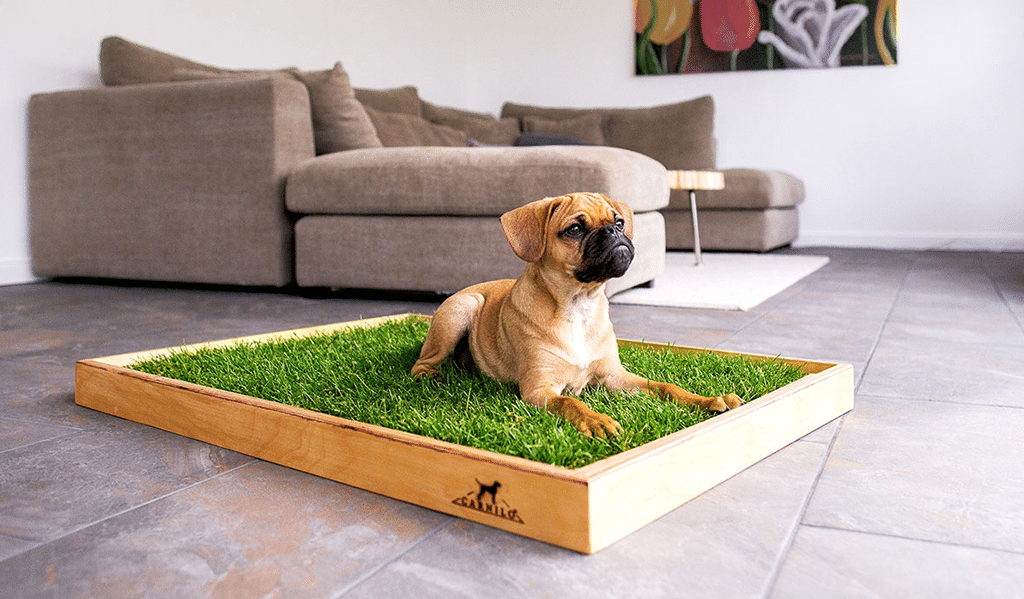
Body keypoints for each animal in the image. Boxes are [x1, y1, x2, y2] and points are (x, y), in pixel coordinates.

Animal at [411, 192, 743, 437]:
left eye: (619, 221)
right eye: (575, 229)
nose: (613, 232)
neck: (579, 305)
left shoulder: (615, 376)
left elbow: (665, 387)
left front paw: (707, 400)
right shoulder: (539, 390)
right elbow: (571, 403)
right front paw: (597, 420)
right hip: (460, 311)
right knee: (422, 363)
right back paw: (434, 377)